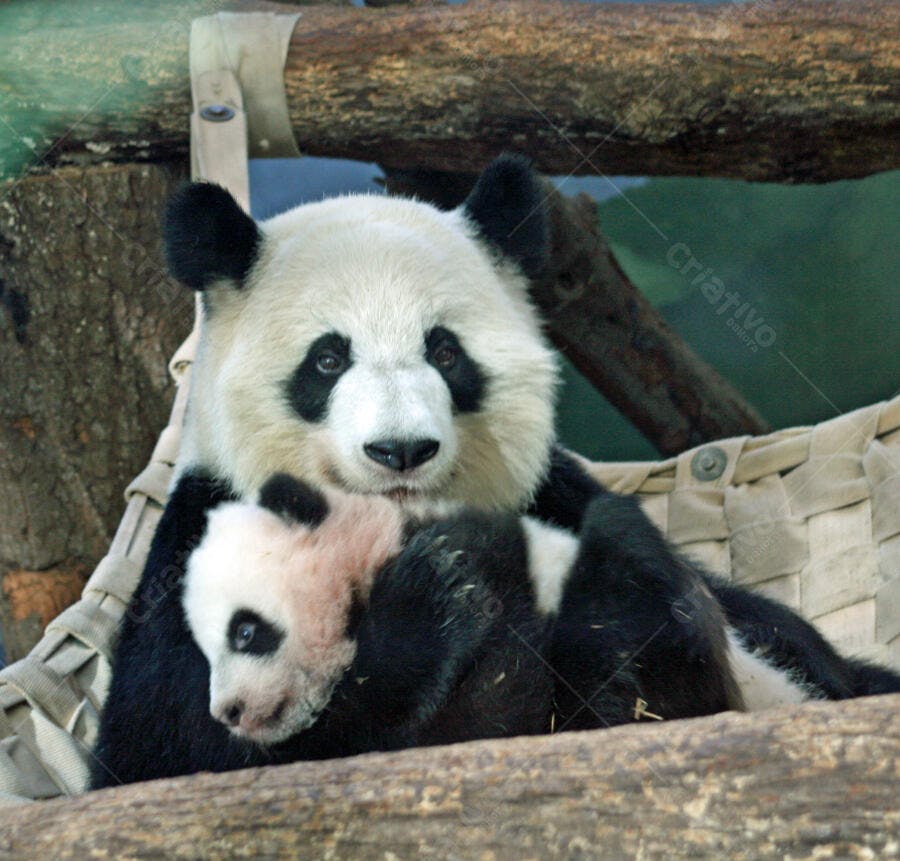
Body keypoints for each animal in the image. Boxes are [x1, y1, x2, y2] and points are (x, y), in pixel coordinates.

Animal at [92, 155, 899, 788]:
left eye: (445, 350)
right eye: (326, 359)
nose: (401, 450)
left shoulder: (552, 493)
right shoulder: (193, 545)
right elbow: (162, 758)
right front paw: (431, 605)